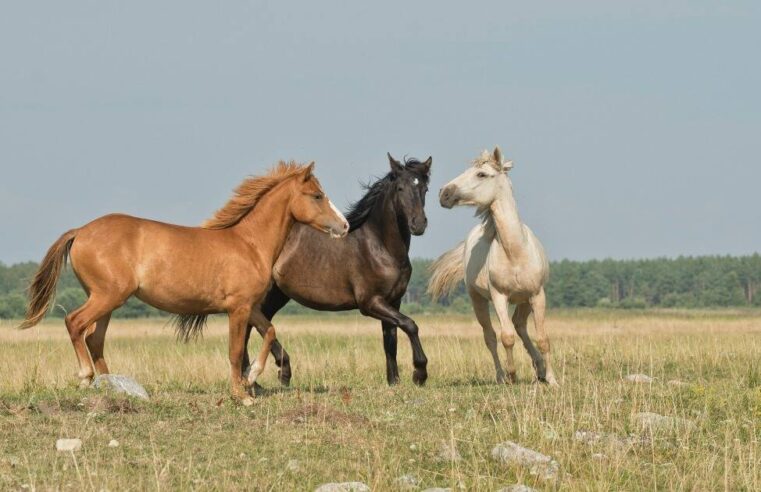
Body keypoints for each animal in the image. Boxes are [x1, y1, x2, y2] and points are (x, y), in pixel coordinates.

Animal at [20, 161, 348, 404]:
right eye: (317, 195)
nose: (344, 226)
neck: (249, 244)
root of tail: (81, 231)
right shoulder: (238, 309)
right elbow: (235, 351)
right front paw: (242, 395)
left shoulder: (250, 307)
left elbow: (269, 332)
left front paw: (253, 377)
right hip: (106, 296)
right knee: (75, 323)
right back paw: (86, 377)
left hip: (108, 301)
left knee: (94, 338)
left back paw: (112, 385)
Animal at [246, 153, 430, 384]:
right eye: (400, 188)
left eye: (424, 188)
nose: (418, 224)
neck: (380, 247)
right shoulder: (370, 303)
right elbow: (410, 324)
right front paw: (419, 373)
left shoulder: (393, 301)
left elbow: (391, 341)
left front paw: (394, 382)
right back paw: (271, 372)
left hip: (277, 295)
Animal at [428, 146, 560, 384]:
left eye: (481, 174)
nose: (444, 193)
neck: (515, 252)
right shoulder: (499, 296)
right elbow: (506, 337)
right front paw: (512, 376)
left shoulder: (537, 295)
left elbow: (543, 338)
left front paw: (552, 380)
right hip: (478, 300)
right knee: (490, 336)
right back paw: (501, 376)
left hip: (524, 300)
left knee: (520, 325)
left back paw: (539, 369)